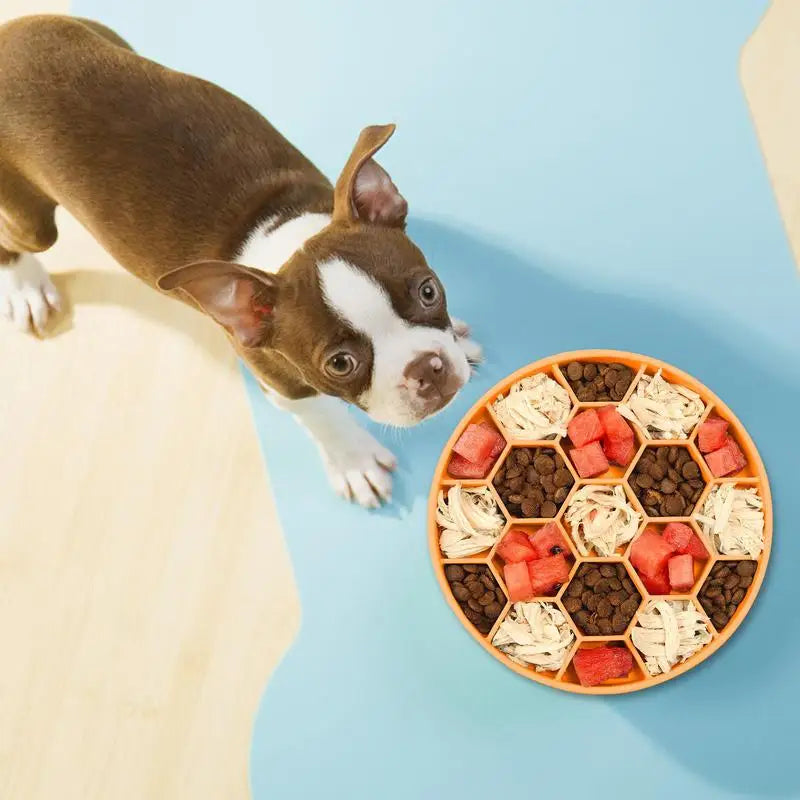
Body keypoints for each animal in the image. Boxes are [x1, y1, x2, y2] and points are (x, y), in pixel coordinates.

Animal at [0, 15, 482, 506]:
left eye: (429, 291)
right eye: (340, 363)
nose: (427, 368)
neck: (282, 230)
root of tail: (12, 35)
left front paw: (457, 337)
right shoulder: (281, 383)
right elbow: (322, 416)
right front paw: (354, 461)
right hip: (32, 219)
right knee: (14, 238)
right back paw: (26, 289)